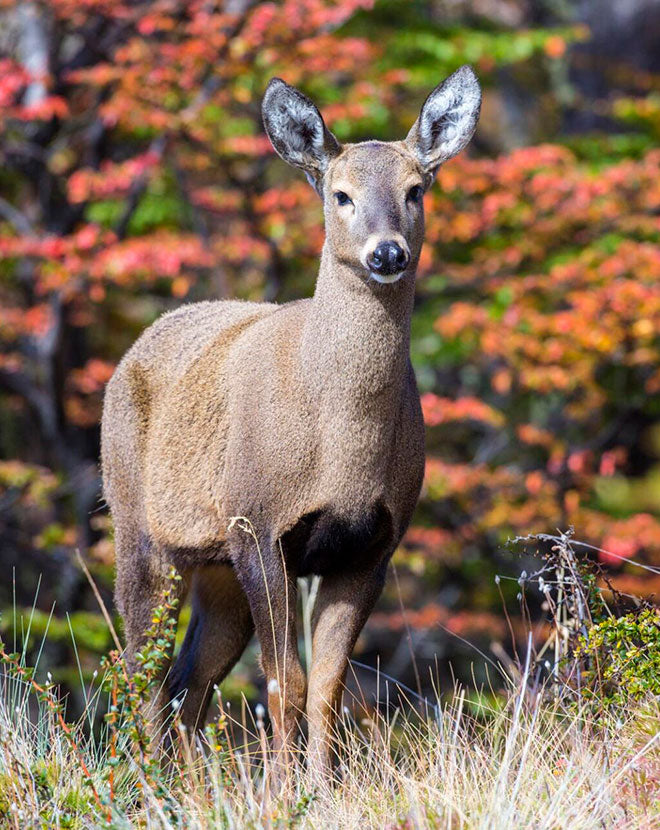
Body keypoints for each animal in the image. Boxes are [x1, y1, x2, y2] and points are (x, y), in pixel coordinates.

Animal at [100, 66, 480, 780]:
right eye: (340, 194)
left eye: (416, 189)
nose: (387, 253)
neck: (341, 446)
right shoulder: (258, 522)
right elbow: (285, 685)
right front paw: (284, 790)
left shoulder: (372, 545)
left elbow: (328, 685)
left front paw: (324, 788)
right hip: (140, 530)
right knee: (140, 671)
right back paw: (146, 785)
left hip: (216, 567)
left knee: (186, 684)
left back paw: (188, 787)